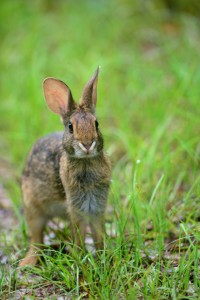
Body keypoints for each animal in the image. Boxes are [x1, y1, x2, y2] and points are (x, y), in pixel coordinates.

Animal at [19, 68, 111, 268]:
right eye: (70, 127)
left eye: (96, 124)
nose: (87, 144)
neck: (86, 162)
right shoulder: (77, 208)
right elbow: (80, 234)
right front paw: (82, 261)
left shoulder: (97, 206)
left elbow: (98, 235)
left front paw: (103, 259)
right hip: (33, 207)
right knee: (36, 237)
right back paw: (28, 262)